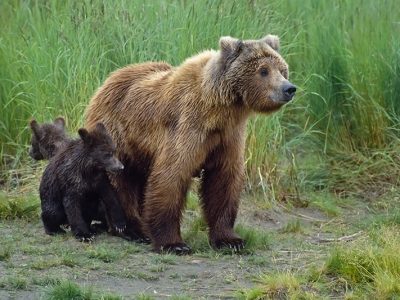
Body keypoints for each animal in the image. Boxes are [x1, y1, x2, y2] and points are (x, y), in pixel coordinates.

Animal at [85, 34, 296, 253]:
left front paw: (230, 240)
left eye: (282, 69)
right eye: (263, 70)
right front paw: (174, 243)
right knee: (120, 181)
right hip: (117, 134)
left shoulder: (228, 137)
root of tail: (106, 82)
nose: (289, 88)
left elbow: (224, 181)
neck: (219, 111)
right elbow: (171, 176)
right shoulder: (187, 127)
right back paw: (133, 229)